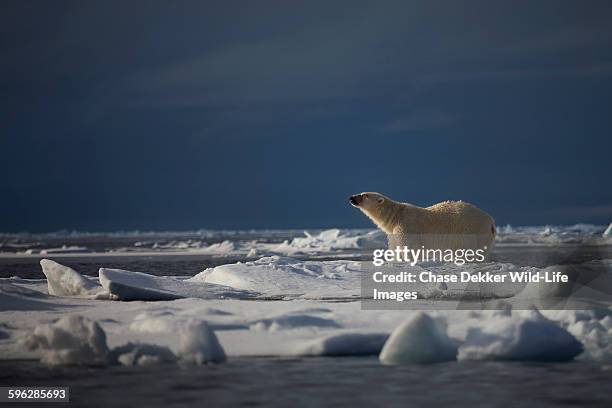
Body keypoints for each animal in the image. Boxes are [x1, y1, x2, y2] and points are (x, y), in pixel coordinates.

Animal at [352, 192, 494, 256]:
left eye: (364, 195)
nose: (351, 197)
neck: (396, 216)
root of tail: (490, 221)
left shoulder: (406, 227)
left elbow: (409, 249)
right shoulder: (393, 233)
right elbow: (396, 248)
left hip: (471, 231)